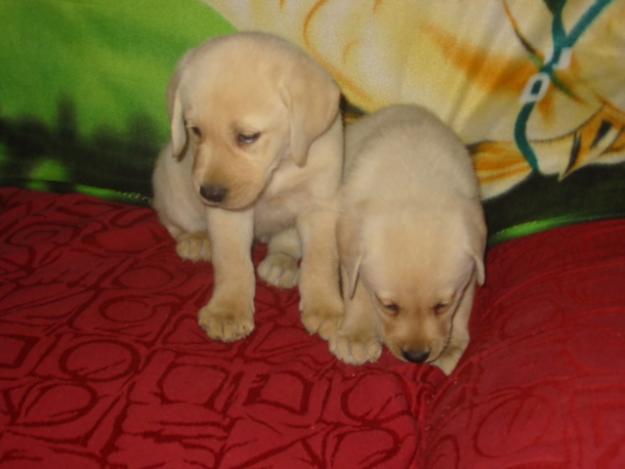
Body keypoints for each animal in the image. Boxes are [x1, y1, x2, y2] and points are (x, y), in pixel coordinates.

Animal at [153, 32, 344, 340]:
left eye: (248, 136)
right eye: (195, 131)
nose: (210, 194)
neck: (279, 167)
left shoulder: (321, 206)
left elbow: (322, 260)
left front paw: (326, 307)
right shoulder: (228, 215)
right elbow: (233, 262)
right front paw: (227, 311)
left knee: (286, 243)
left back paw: (280, 264)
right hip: (171, 184)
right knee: (172, 221)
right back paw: (197, 240)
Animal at [330, 104, 486, 374]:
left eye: (441, 305)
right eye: (389, 306)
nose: (416, 356)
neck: (415, 184)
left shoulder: (470, 270)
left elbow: (464, 303)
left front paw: (453, 344)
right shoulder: (351, 248)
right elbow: (357, 291)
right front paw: (357, 337)